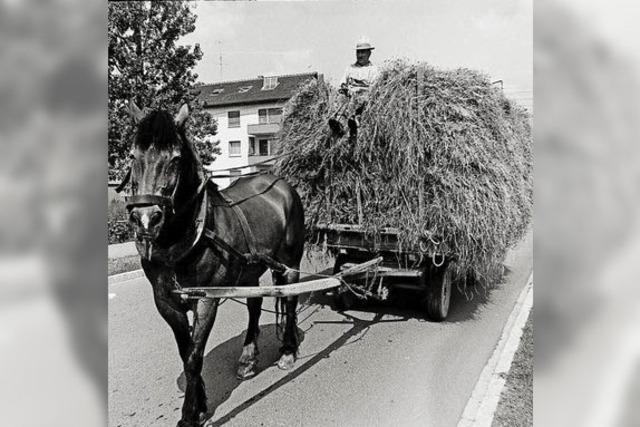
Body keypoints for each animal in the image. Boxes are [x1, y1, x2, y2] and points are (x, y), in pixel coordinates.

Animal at [125, 102, 308, 426]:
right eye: (133, 155)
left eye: (175, 159)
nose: (146, 219)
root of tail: (279, 182)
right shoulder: (166, 302)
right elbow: (186, 353)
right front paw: (199, 404)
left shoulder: (206, 300)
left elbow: (194, 356)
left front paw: (189, 415)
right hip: (249, 271)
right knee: (255, 306)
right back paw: (247, 357)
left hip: (290, 262)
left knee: (289, 299)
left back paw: (287, 350)